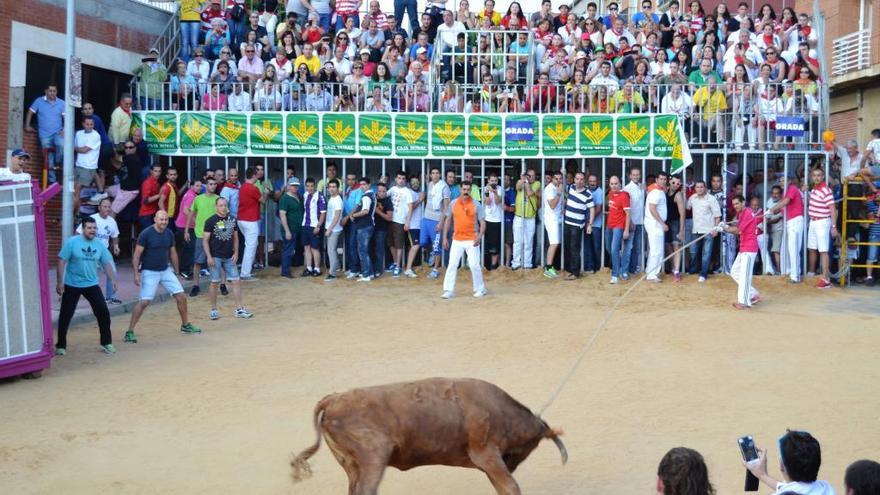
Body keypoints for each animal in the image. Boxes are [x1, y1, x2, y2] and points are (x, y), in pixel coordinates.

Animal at [288, 378, 564, 494]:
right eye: (532, 445)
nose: (512, 464)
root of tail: (334, 398)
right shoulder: (487, 454)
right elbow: (510, 487)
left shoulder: (489, 463)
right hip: (373, 458)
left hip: (352, 465)